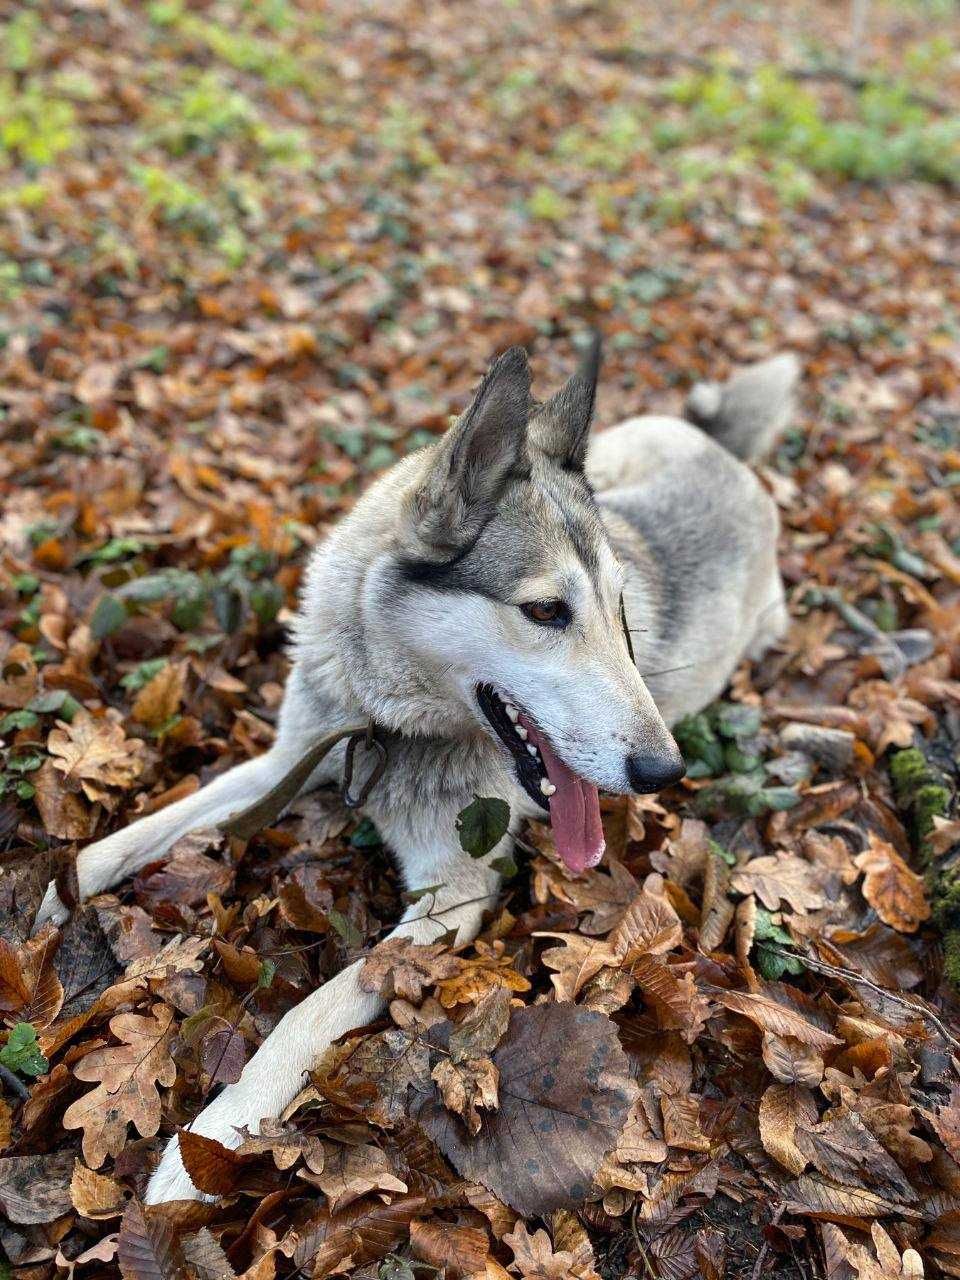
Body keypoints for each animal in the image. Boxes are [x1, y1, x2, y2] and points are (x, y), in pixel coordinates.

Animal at [35, 340, 798, 1198]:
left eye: (622, 608)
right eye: (545, 612)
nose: (664, 769)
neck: (387, 724)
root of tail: (724, 450)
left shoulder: (449, 899)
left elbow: (309, 1009)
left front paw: (214, 1138)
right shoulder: (294, 756)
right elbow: (137, 835)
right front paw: (55, 900)